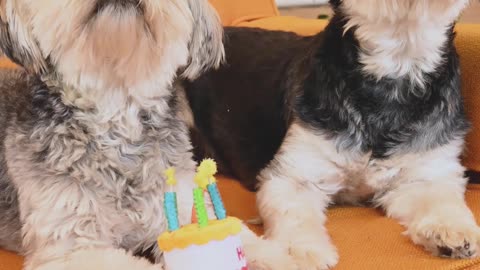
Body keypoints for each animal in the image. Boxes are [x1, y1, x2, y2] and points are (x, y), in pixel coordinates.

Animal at [185, 0, 480, 268]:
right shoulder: (296, 170)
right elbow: (295, 214)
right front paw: (297, 255)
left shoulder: (425, 168)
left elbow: (436, 196)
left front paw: (452, 230)